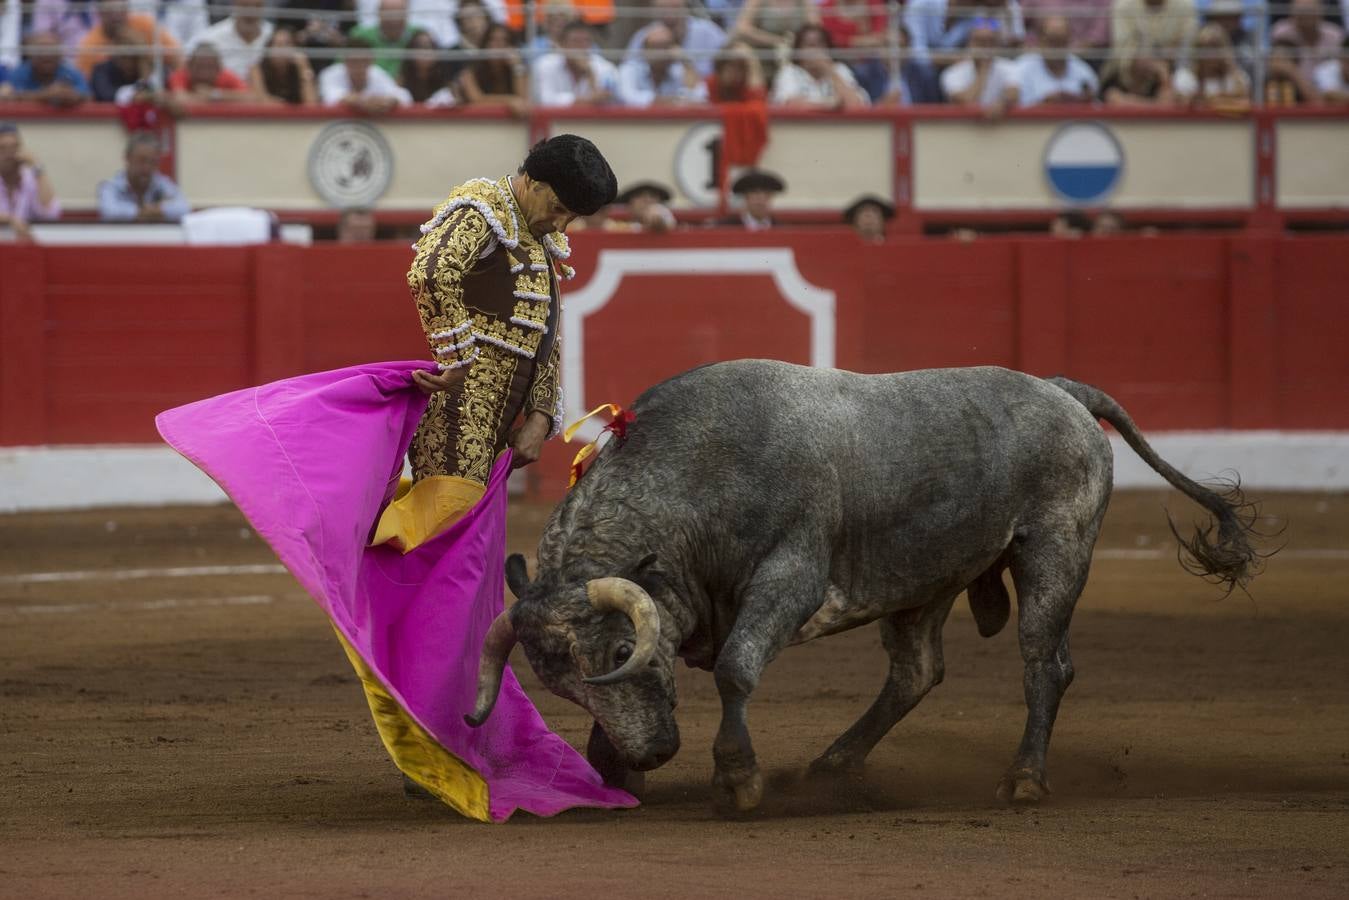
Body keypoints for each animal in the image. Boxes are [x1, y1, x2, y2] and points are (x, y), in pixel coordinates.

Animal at [466, 361, 1262, 814]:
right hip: (924, 580)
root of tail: (1061, 392)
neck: (697, 480)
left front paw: (737, 778)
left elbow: (735, 669)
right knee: (916, 670)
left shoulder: (789, 581)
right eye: (562, 685)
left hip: (1054, 554)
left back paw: (1024, 781)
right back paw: (830, 767)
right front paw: (614, 776)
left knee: (1045, 662)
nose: (652, 755)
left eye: (618, 653)